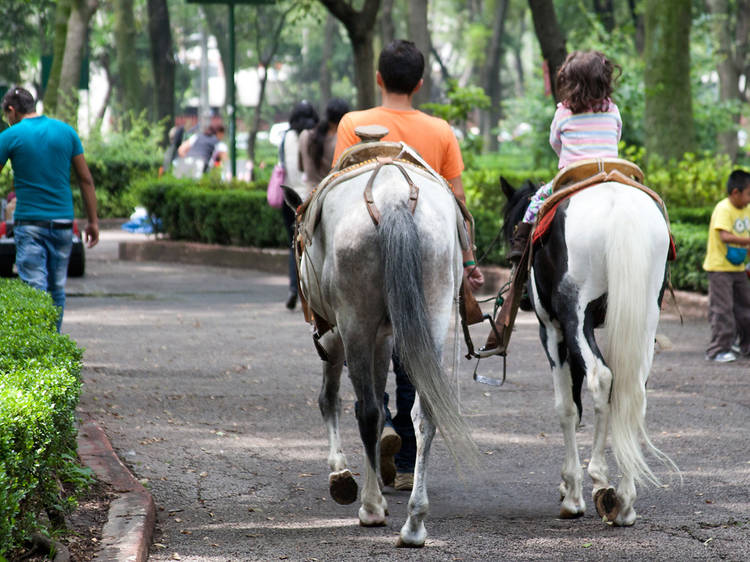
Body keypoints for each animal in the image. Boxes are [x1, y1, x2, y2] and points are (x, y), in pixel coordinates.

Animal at [284, 163, 478, 548]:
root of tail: (394, 199)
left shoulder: (335, 333)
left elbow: (330, 398)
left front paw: (341, 473)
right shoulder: (386, 336)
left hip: (355, 319)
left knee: (368, 410)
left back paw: (372, 506)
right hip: (433, 311)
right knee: (425, 412)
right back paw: (415, 522)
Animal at [502, 177, 680, 524]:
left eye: (513, 228)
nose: (524, 298)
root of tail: (619, 205)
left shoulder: (553, 331)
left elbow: (568, 407)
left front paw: (572, 490)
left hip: (577, 314)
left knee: (601, 379)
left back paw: (599, 483)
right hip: (644, 317)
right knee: (631, 393)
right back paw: (625, 499)